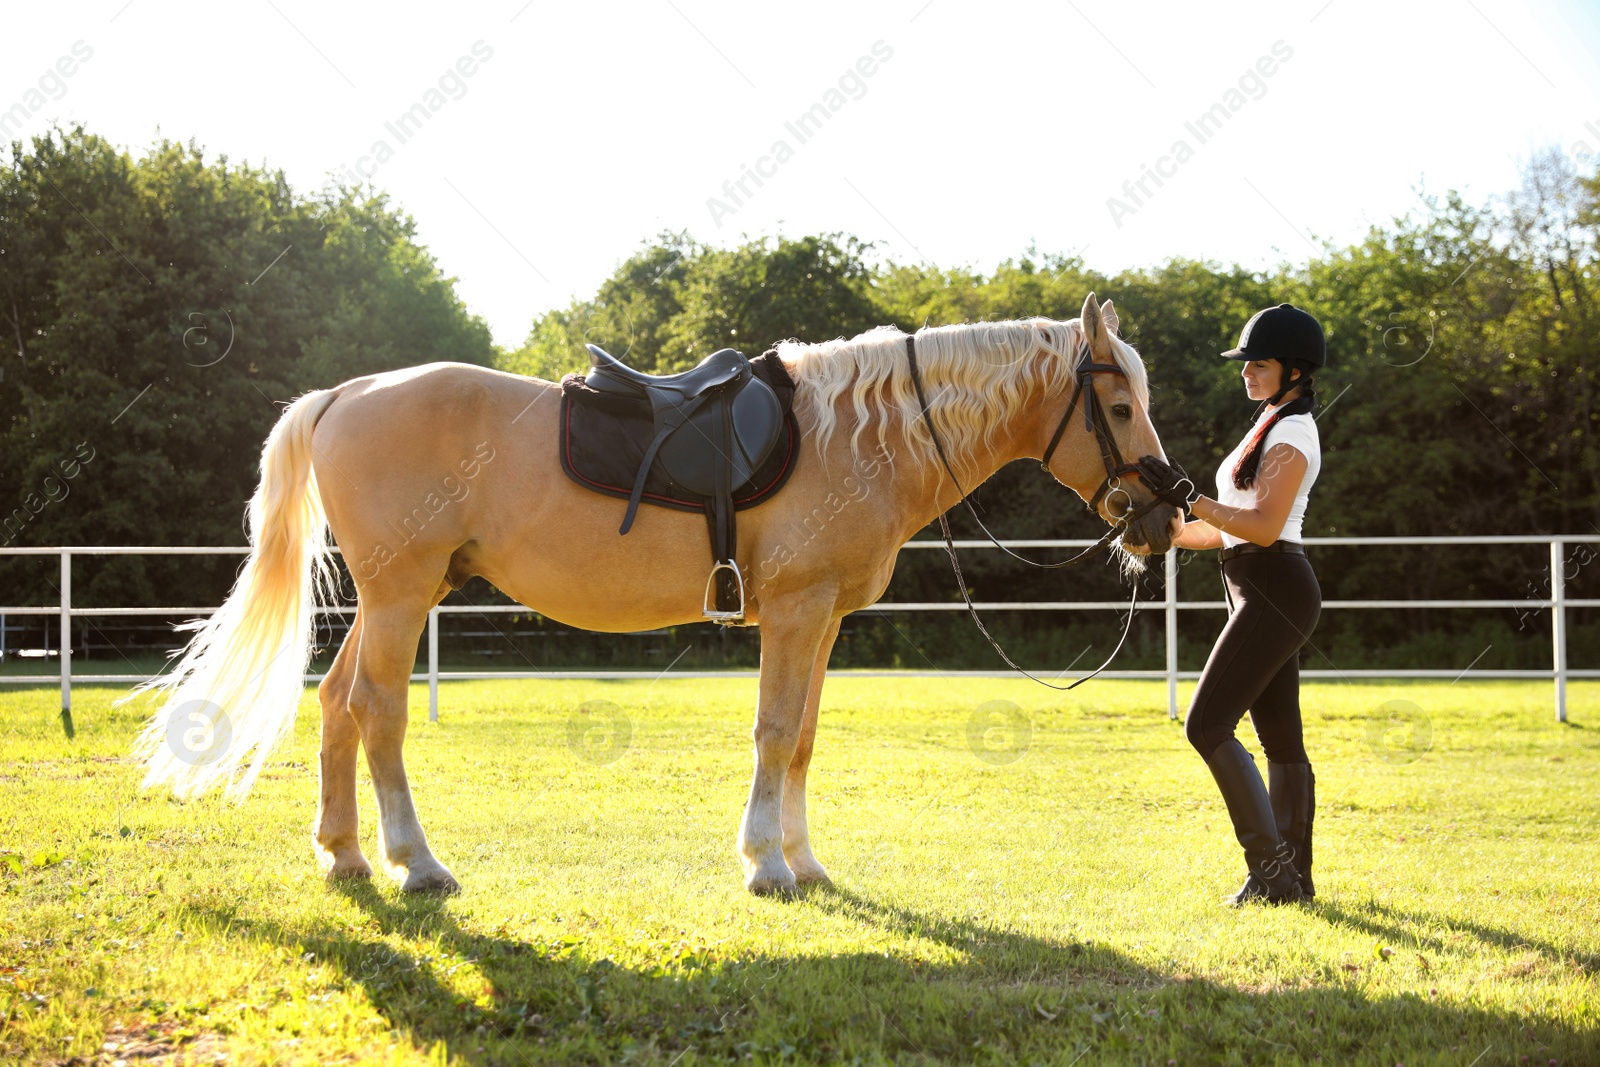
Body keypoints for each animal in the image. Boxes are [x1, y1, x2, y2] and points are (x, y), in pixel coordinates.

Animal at [134, 289, 1177, 895]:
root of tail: (346, 394)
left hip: (398, 597)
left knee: (340, 706)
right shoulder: (795, 612)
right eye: (1120, 404)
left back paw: (346, 852)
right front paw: (766, 863)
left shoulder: (824, 621)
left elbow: (803, 739)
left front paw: (804, 859)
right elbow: (772, 733)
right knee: (379, 711)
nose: (1164, 510)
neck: (857, 434)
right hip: (399, 597)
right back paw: (416, 864)